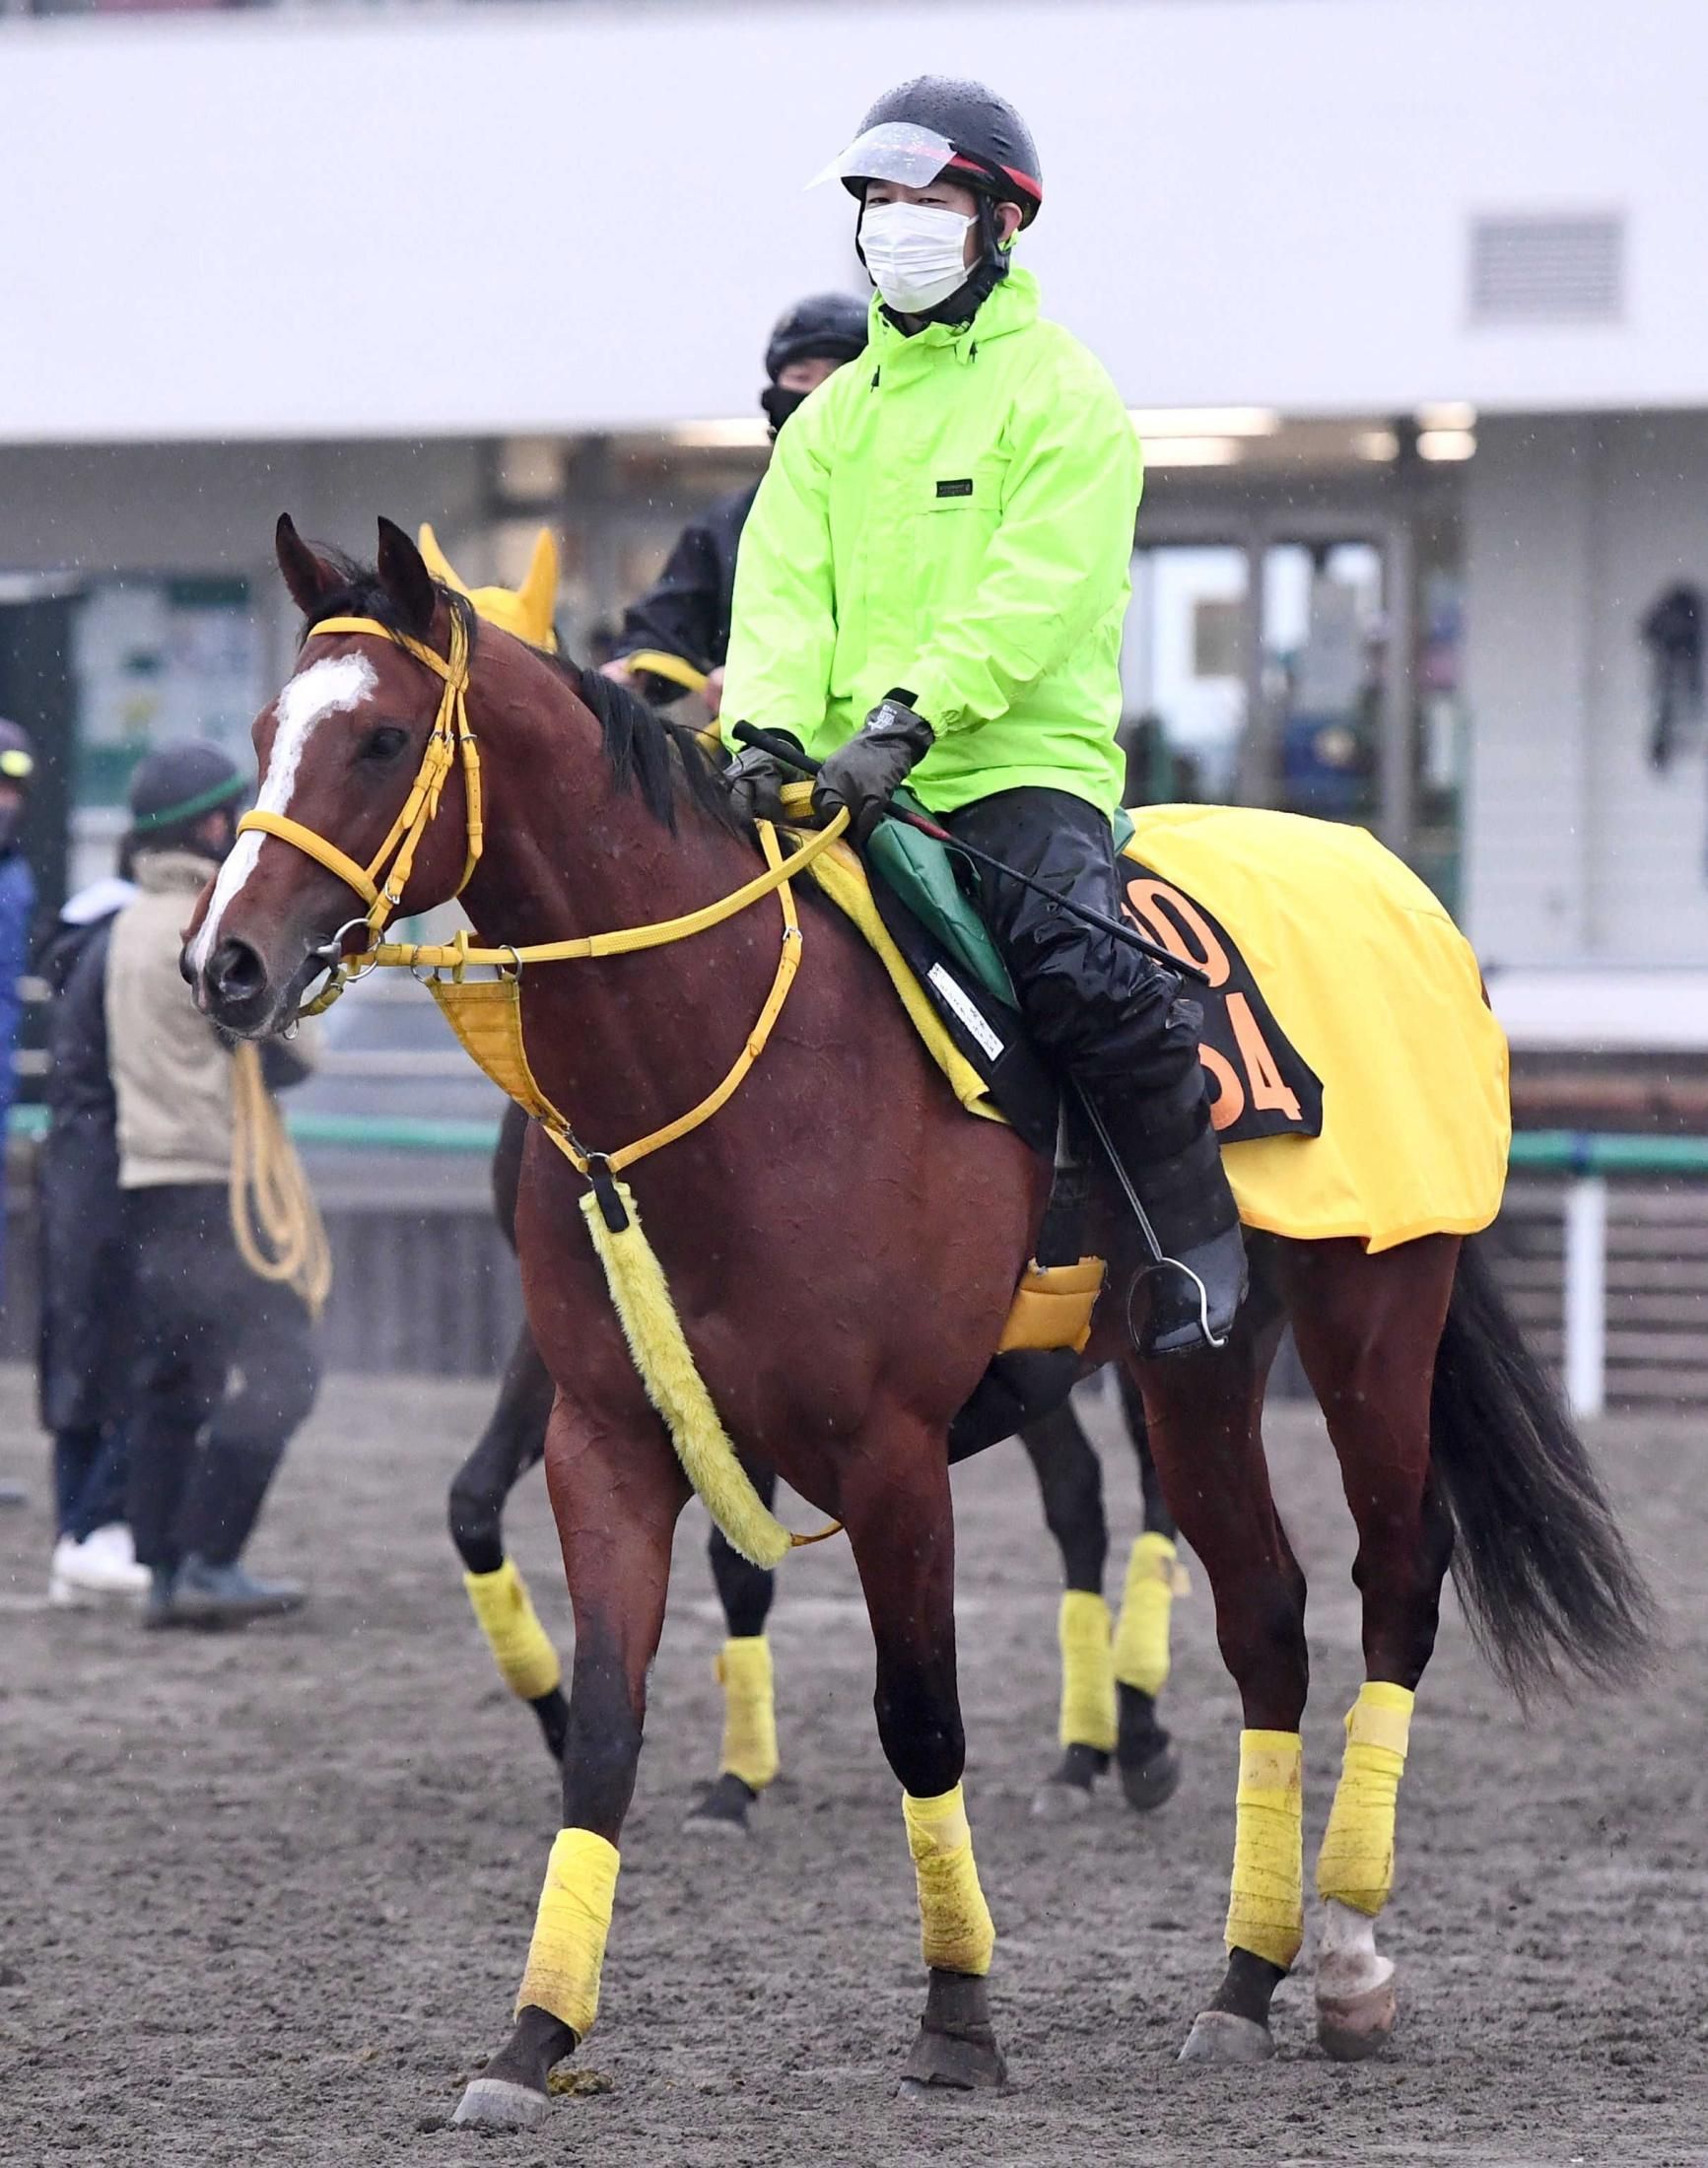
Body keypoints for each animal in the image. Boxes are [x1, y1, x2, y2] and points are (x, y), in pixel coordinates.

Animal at [452, 1099, 1184, 1822]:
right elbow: (473, 1503)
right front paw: (565, 1725)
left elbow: (738, 1567)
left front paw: (734, 1783)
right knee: (1076, 1493)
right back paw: (1082, 1756)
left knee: (1156, 1485)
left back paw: (1139, 1735)